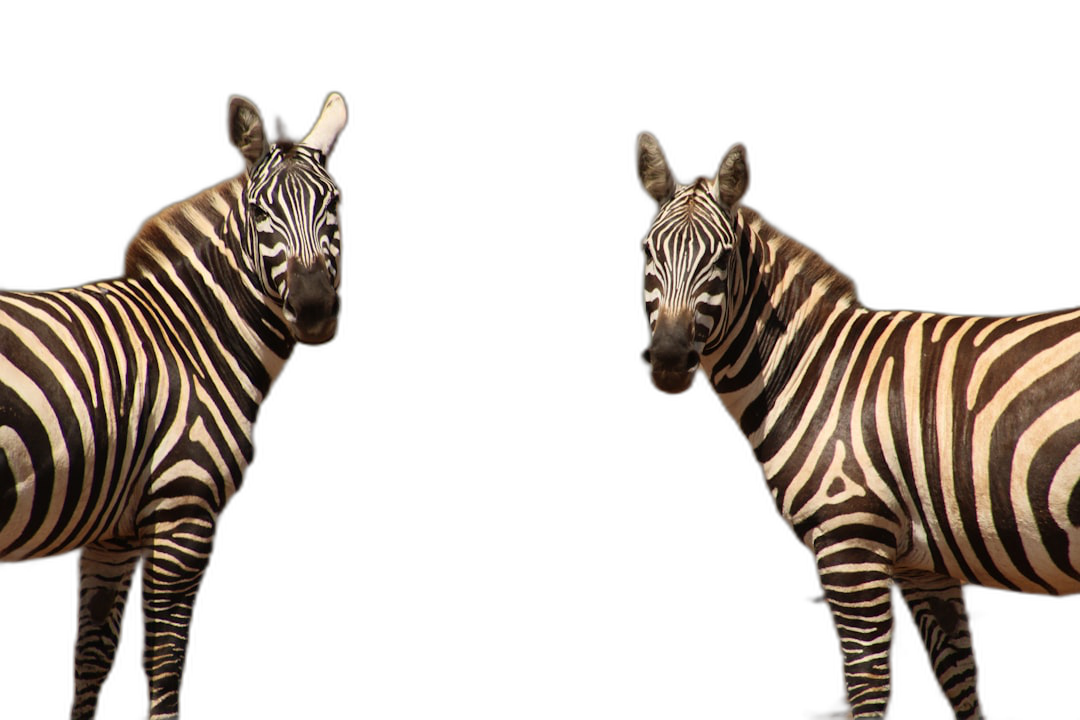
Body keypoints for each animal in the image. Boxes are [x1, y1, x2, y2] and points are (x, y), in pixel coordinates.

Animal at [0, 92, 345, 716]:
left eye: (333, 205)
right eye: (260, 213)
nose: (313, 310)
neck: (191, 339)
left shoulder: (111, 532)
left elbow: (92, 658)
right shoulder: (184, 507)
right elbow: (165, 664)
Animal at [630, 133, 1080, 720]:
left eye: (723, 260)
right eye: (646, 253)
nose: (667, 360)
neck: (815, 371)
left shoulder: (850, 543)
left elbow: (867, 691)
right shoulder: (924, 564)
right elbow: (961, 686)